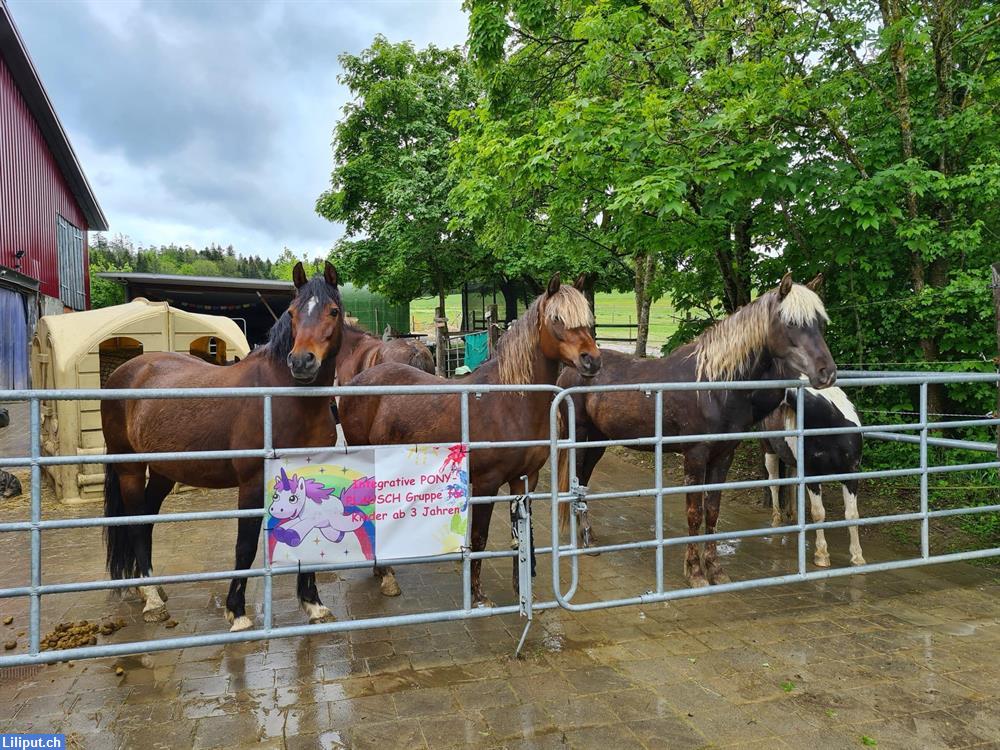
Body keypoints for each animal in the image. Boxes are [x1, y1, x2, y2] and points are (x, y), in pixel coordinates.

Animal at [342, 274, 600, 608]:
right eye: (557, 319)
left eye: (588, 318)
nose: (592, 361)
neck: (510, 403)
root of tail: (356, 382)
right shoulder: (487, 484)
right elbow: (479, 537)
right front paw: (478, 596)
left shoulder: (524, 479)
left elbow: (521, 533)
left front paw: (522, 590)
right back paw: (386, 576)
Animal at [556, 274, 836, 592]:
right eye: (790, 323)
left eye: (820, 323)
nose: (827, 372)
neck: (713, 385)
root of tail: (570, 369)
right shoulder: (695, 456)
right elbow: (694, 513)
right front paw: (694, 572)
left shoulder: (723, 456)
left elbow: (712, 510)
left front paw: (715, 569)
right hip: (579, 439)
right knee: (575, 482)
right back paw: (583, 540)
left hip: (598, 442)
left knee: (583, 482)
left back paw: (588, 537)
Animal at [756, 384, 868, 568]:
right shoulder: (811, 474)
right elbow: (818, 513)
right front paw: (822, 555)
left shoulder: (851, 474)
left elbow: (852, 514)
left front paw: (857, 557)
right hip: (769, 451)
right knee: (774, 485)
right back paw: (777, 521)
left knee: (791, 484)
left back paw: (794, 518)